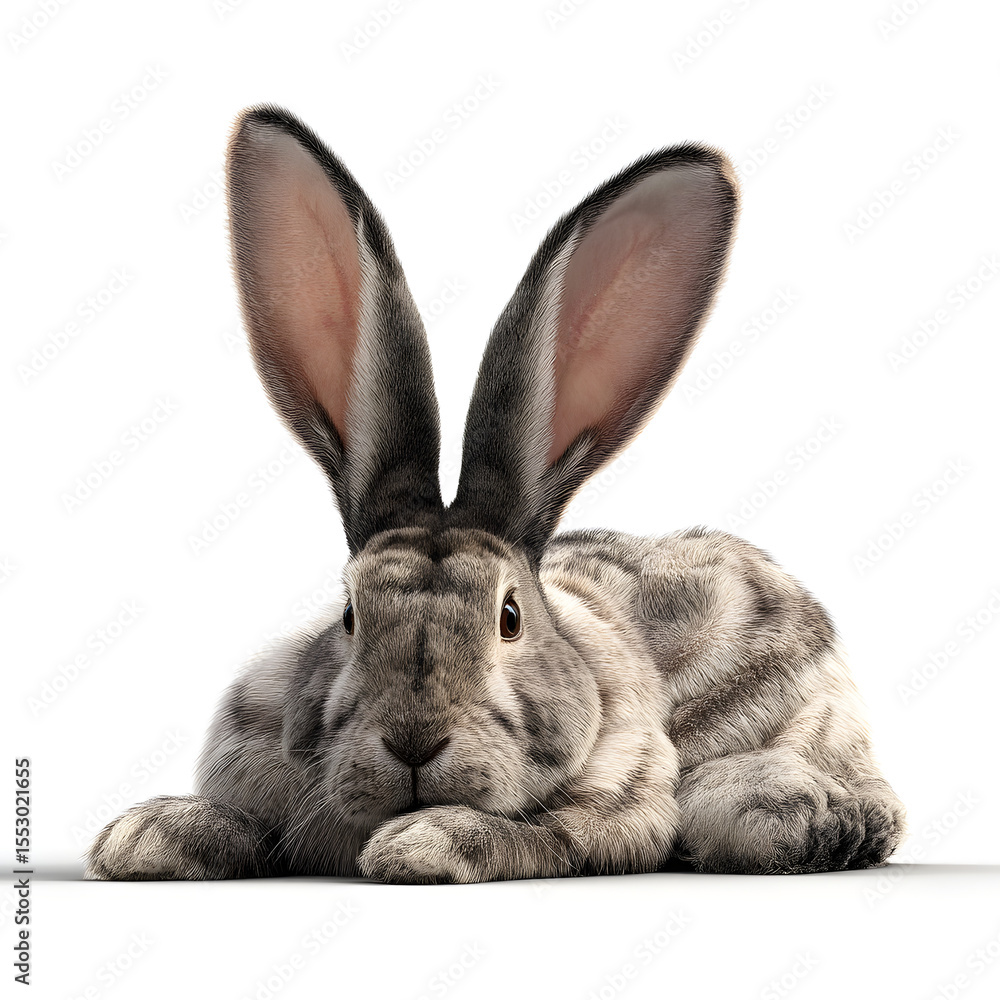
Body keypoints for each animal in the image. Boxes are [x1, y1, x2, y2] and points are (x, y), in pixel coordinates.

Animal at [85, 105, 906, 883]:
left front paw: (422, 843)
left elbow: (542, 834)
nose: (415, 741)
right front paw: (148, 835)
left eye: (509, 617)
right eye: (349, 615)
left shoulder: (617, 802)